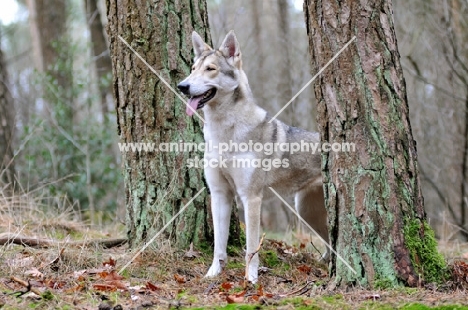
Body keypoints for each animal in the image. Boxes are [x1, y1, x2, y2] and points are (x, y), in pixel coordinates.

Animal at [177, 30, 328, 282]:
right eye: (193, 68)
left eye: (210, 69)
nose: (182, 86)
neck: (224, 132)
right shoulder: (220, 194)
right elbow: (219, 245)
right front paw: (213, 274)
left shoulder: (251, 198)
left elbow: (251, 247)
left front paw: (251, 279)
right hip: (307, 212)